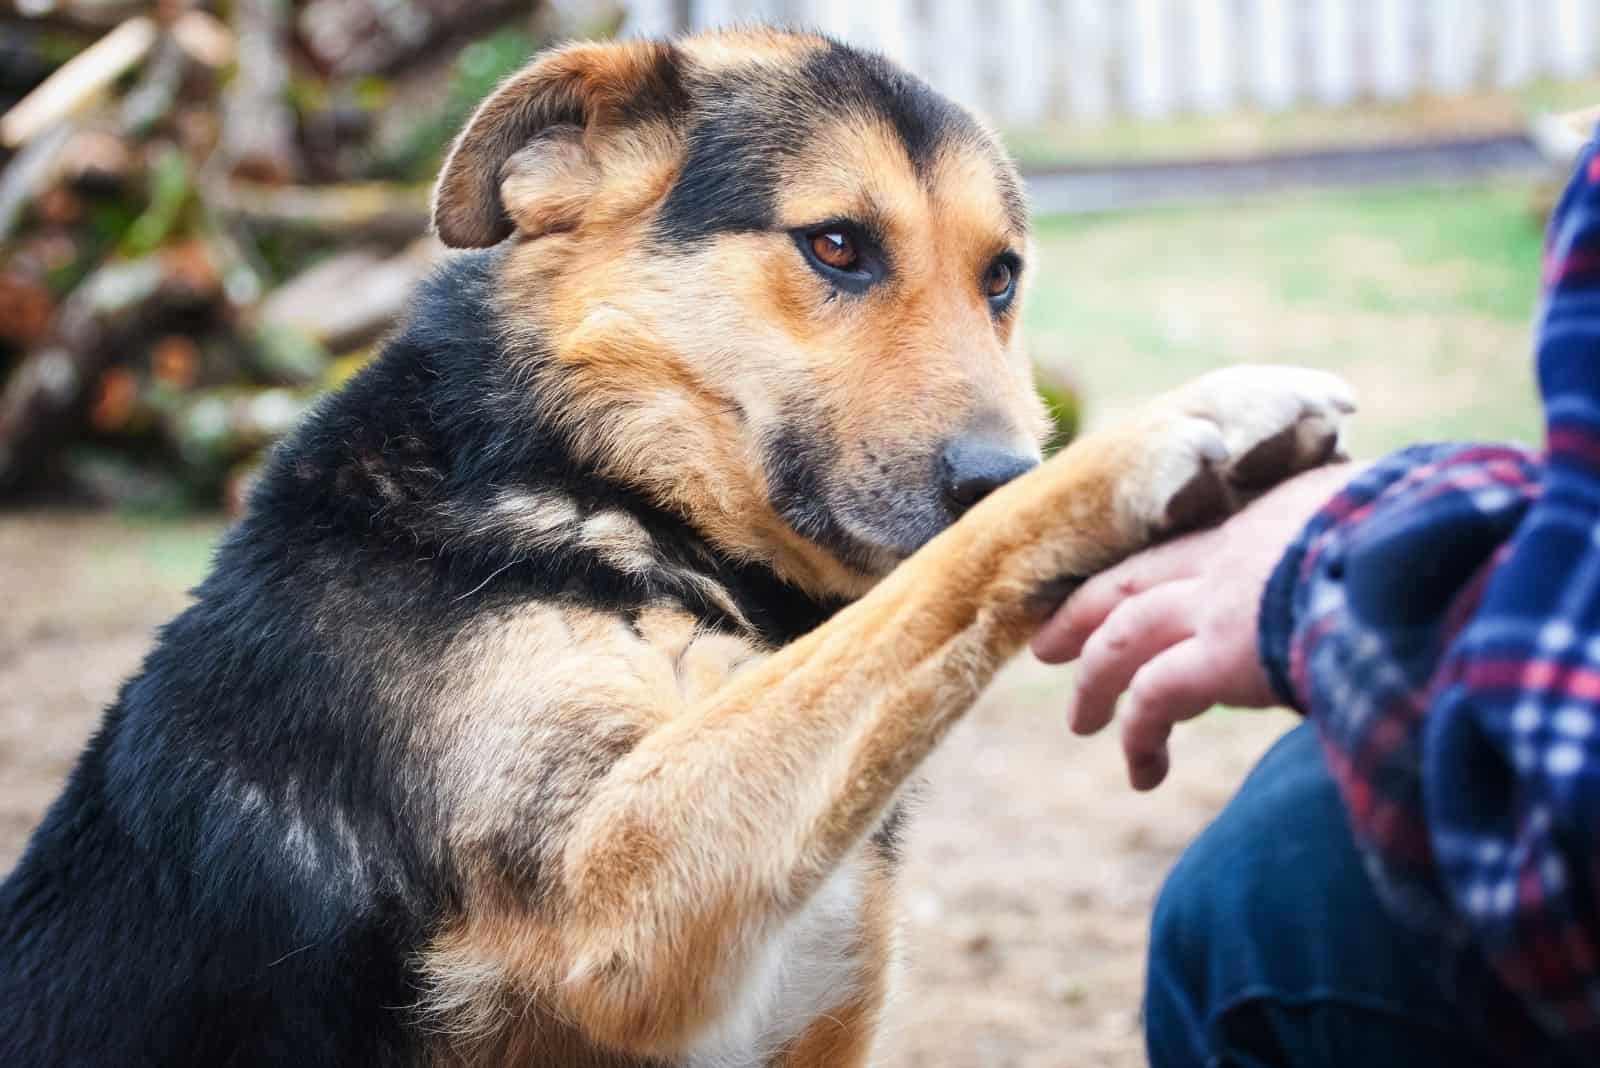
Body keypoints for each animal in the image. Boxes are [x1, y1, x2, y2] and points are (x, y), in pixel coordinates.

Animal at [0, 27, 1350, 1068]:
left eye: (1002, 278)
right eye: (838, 245)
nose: (995, 468)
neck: (609, 491)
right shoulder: (619, 901)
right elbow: (920, 592)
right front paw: (1157, 439)